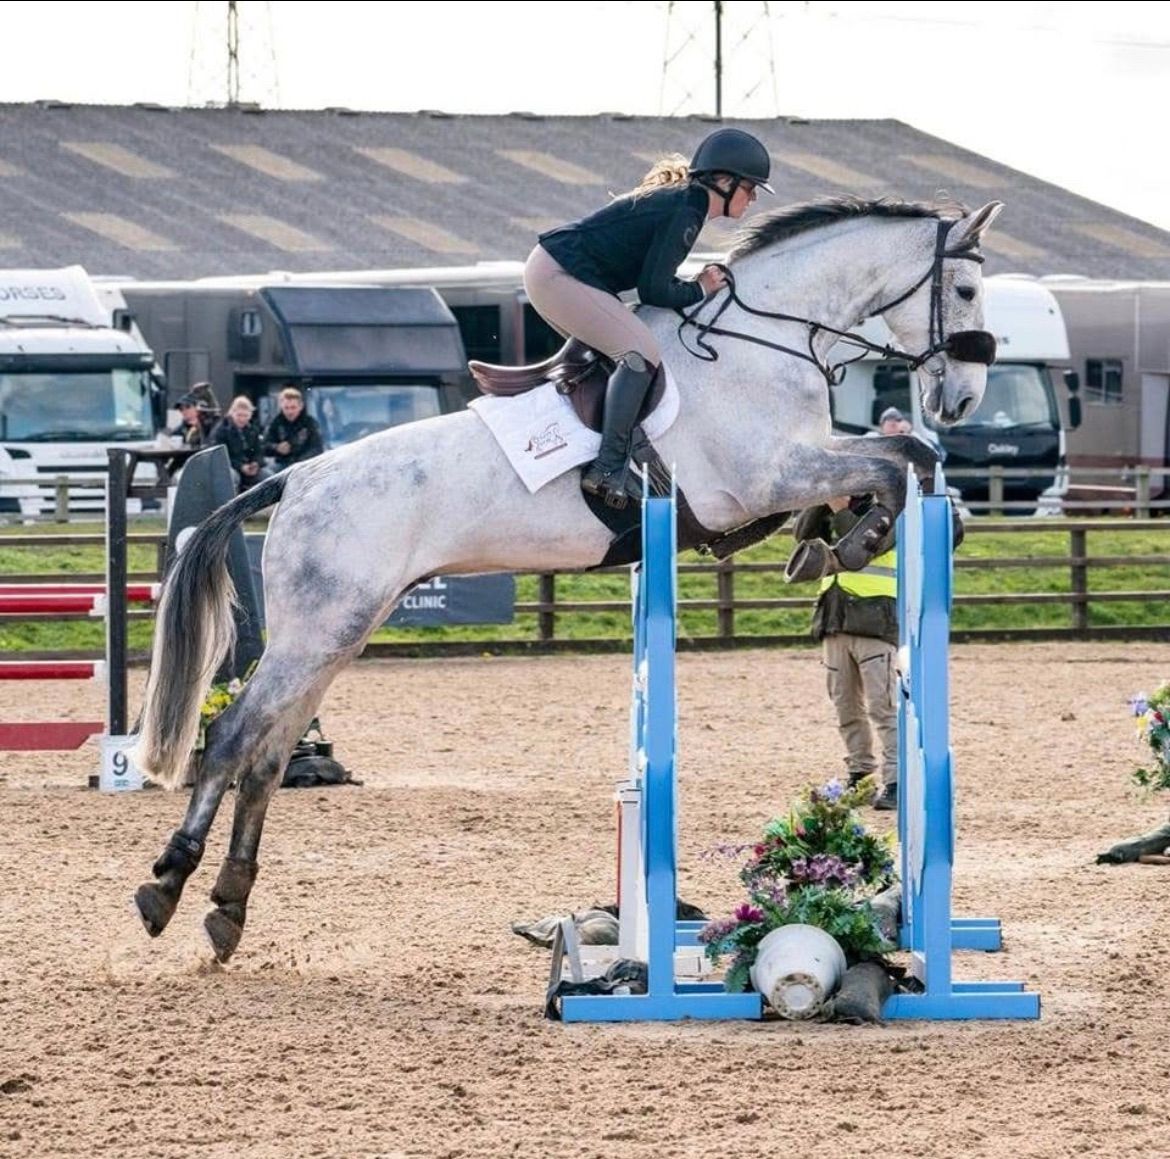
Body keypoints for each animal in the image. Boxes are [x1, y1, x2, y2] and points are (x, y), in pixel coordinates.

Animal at [132, 197, 1001, 959]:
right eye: (964, 290)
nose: (961, 399)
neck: (765, 341)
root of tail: (296, 478)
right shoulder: (766, 476)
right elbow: (894, 462)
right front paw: (857, 542)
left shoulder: (794, 466)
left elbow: (897, 458)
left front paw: (837, 542)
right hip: (318, 629)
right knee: (233, 736)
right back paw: (166, 887)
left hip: (336, 633)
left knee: (268, 755)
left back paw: (227, 907)